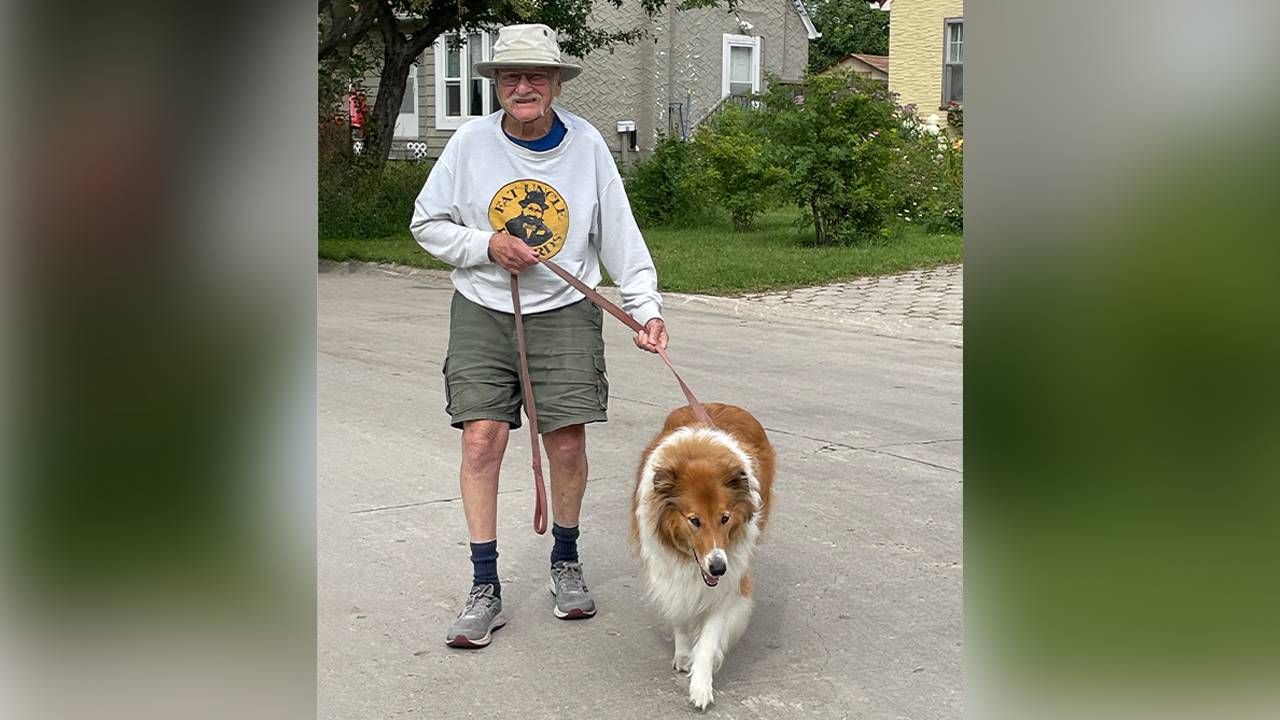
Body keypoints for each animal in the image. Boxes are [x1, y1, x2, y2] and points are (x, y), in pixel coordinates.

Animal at [627, 399, 768, 707]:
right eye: (694, 520)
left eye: (725, 518)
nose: (717, 568)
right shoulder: (668, 570)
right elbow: (680, 612)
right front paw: (682, 653)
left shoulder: (730, 581)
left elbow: (710, 637)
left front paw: (702, 684)